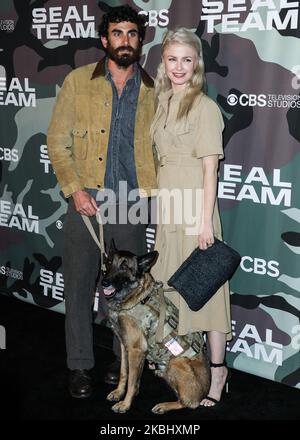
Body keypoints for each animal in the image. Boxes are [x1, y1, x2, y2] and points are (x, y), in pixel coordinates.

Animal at [102, 242, 210, 414]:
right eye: (109, 262)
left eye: (124, 267)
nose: (104, 282)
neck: (134, 296)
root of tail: (204, 394)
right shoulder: (125, 347)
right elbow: (124, 373)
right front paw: (119, 392)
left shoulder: (136, 350)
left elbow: (131, 382)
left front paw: (125, 404)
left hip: (175, 363)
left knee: (188, 403)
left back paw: (165, 405)